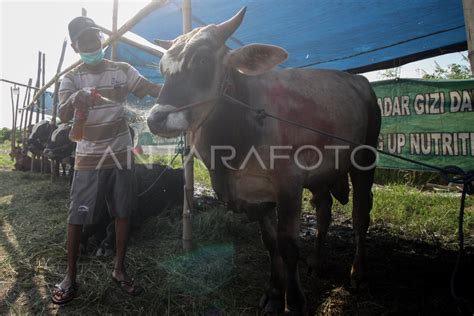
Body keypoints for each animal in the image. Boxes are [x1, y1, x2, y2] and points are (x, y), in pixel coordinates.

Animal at [145, 7, 382, 314]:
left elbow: (288, 245)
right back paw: (317, 261)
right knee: (324, 211)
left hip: (365, 157)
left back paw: (359, 274)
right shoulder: (258, 196)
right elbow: (270, 243)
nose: (155, 119)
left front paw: (293, 302)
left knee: (360, 214)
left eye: (202, 59)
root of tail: (359, 81)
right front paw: (273, 293)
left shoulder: (289, 184)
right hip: (321, 173)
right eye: (163, 68)